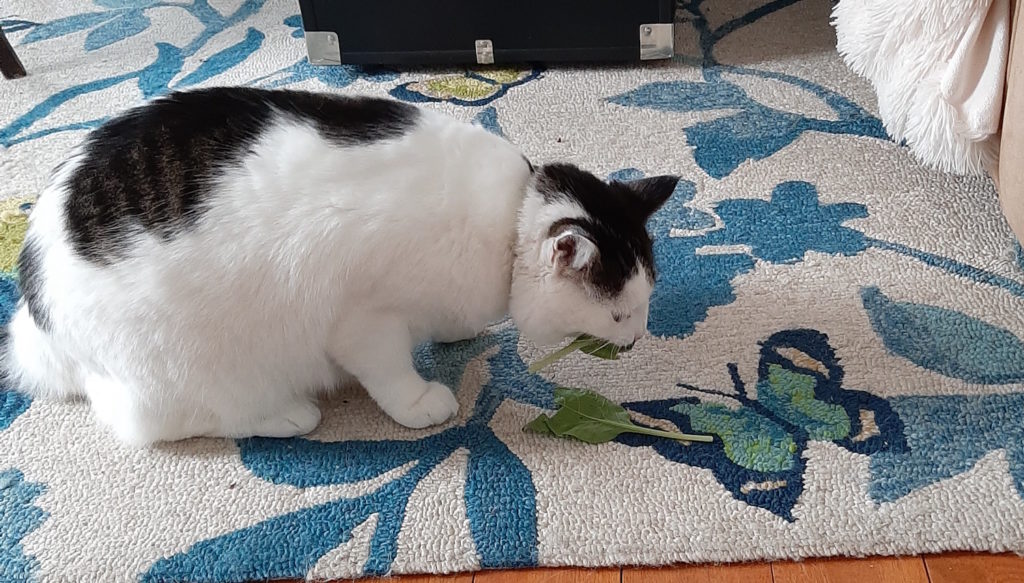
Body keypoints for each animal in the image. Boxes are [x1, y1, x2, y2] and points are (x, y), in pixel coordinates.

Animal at [2, 86, 679, 442]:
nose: (638, 339)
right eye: (621, 315)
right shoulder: (365, 318)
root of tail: (37, 307)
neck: (505, 226)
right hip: (191, 365)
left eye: (643, 308)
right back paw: (286, 414)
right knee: (157, 420)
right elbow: (390, 372)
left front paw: (457, 330)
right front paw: (421, 403)